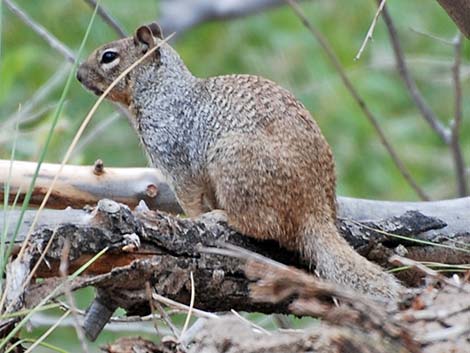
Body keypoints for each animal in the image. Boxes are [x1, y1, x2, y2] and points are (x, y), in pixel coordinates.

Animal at [78, 23, 404, 302]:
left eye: (109, 56)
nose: (79, 75)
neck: (162, 91)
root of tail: (313, 209)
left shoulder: (175, 160)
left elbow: (189, 199)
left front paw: (190, 220)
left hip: (233, 163)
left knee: (264, 225)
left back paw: (221, 217)